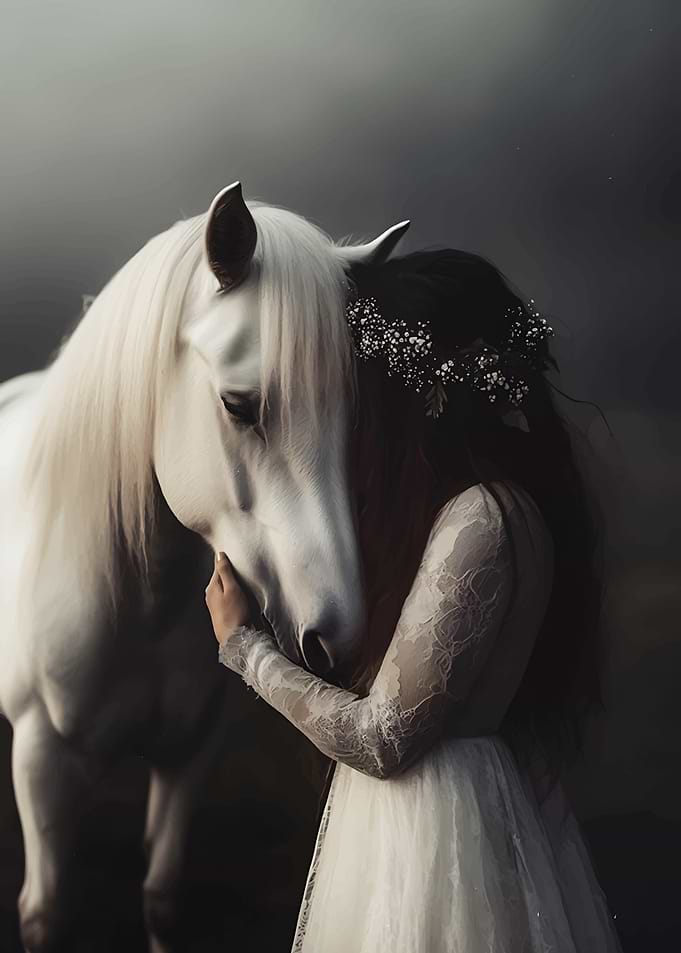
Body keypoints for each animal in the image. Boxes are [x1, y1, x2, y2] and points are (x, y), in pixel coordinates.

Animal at [0, 181, 410, 952]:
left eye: (353, 416)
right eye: (238, 405)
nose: (337, 635)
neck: (136, 602)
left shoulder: (189, 753)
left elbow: (162, 898)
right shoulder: (42, 762)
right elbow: (47, 911)